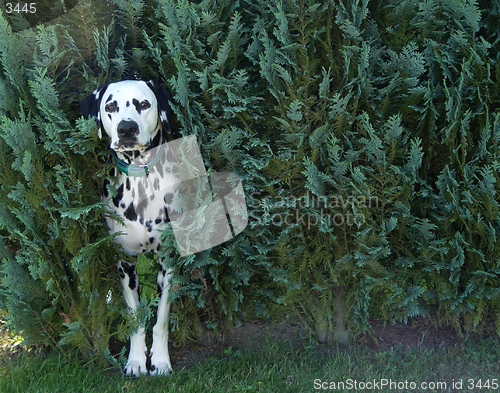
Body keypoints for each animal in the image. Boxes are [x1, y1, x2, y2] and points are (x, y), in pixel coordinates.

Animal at [80, 79, 176, 374]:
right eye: (110, 106)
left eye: (143, 104)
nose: (126, 129)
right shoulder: (125, 264)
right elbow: (135, 319)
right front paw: (135, 360)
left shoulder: (167, 263)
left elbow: (161, 319)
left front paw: (160, 360)